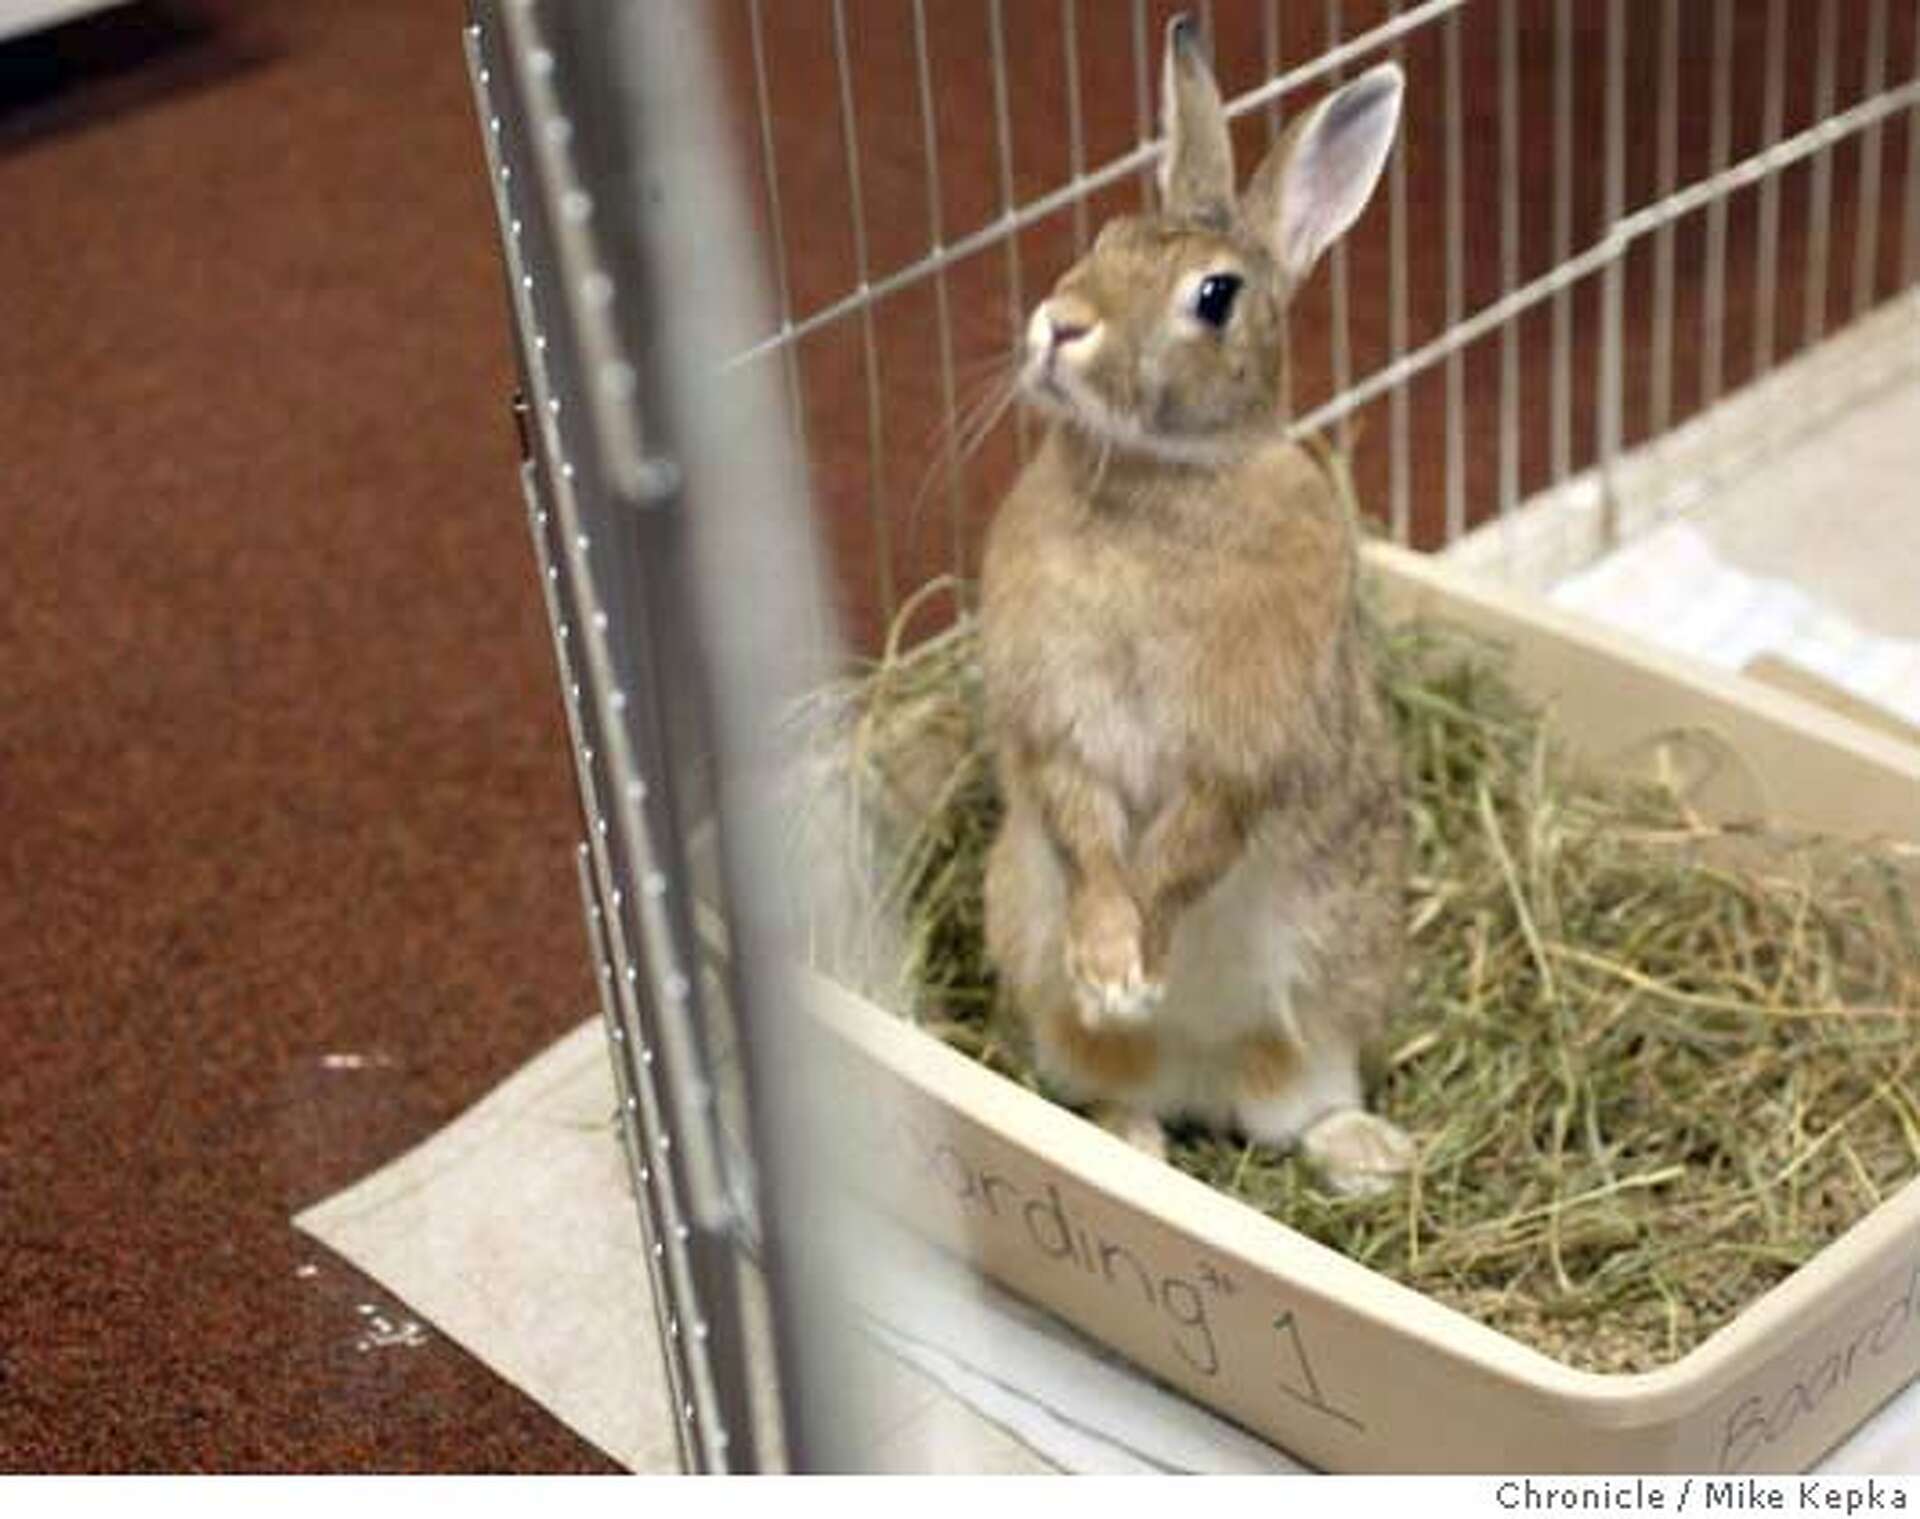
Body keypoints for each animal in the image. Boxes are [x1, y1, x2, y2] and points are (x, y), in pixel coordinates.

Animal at [978, 15, 1413, 1196]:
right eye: (1107, 232)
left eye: (1215, 298)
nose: (1059, 326)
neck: (1159, 479)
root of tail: (1207, 1085)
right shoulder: (1057, 723)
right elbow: (1088, 829)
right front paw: (1108, 966)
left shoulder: (1245, 748)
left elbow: (1186, 847)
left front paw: (1134, 963)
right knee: (1111, 1091)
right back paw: (1134, 1135)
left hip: (1331, 986)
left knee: (1300, 1103)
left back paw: (1370, 1156)